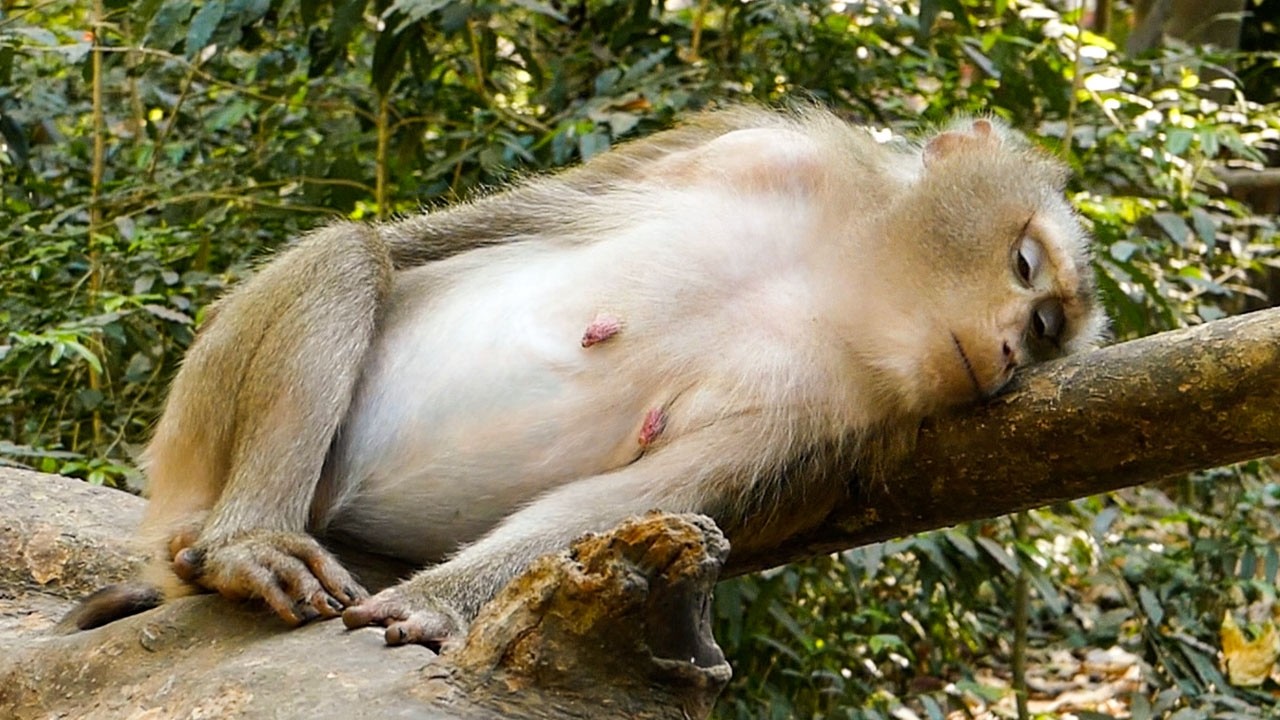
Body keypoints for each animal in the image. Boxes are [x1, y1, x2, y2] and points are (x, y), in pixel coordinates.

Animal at [62, 106, 1107, 649]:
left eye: (1045, 332)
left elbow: (640, 499)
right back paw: (248, 543)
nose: (1008, 353)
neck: (834, 285)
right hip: (195, 437)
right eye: (1025, 269)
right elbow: (453, 235)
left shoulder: (826, 415)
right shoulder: (768, 148)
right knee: (354, 256)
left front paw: (441, 600)